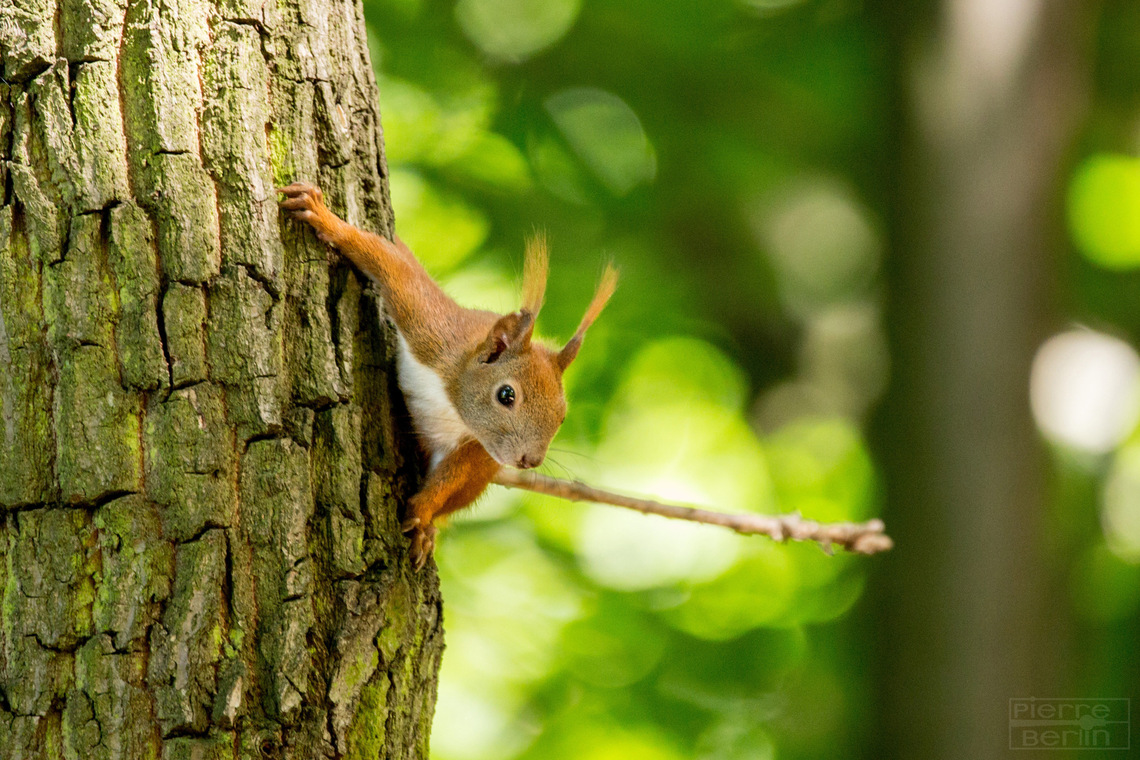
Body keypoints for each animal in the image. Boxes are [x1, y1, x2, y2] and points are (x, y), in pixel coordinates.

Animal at [278, 183, 617, 569]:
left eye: (561, 417)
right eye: (506, 395)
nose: (530, 461)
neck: (452, 399)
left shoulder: (475, 447)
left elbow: (451, 477)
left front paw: (422, 512)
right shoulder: (428, 325)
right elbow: (387, 261)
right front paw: (325, 218)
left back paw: (428, 531)